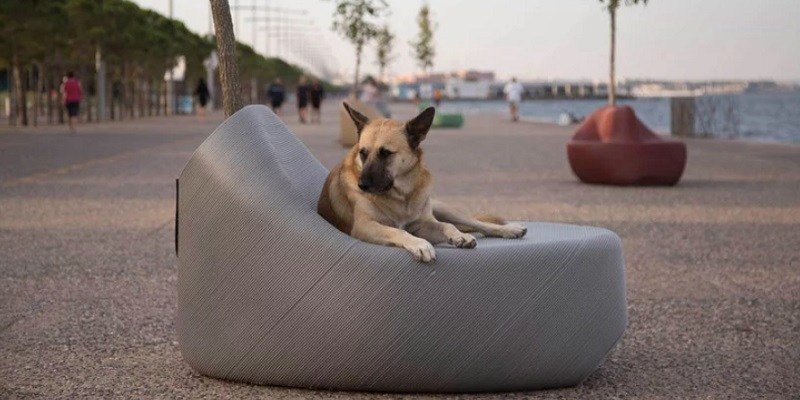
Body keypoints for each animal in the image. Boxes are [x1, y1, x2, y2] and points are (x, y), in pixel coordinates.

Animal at [316, 102, 528, 262]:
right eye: (363, 153)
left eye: (385, 153)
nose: (362, 186)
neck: (401, 195)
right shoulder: (364, 226)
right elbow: (398, 231)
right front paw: (420, 244)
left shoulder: (422, 225)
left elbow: (446, 226)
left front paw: (459, 236)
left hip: (444, 209)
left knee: (477, 223)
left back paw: (508, 229)